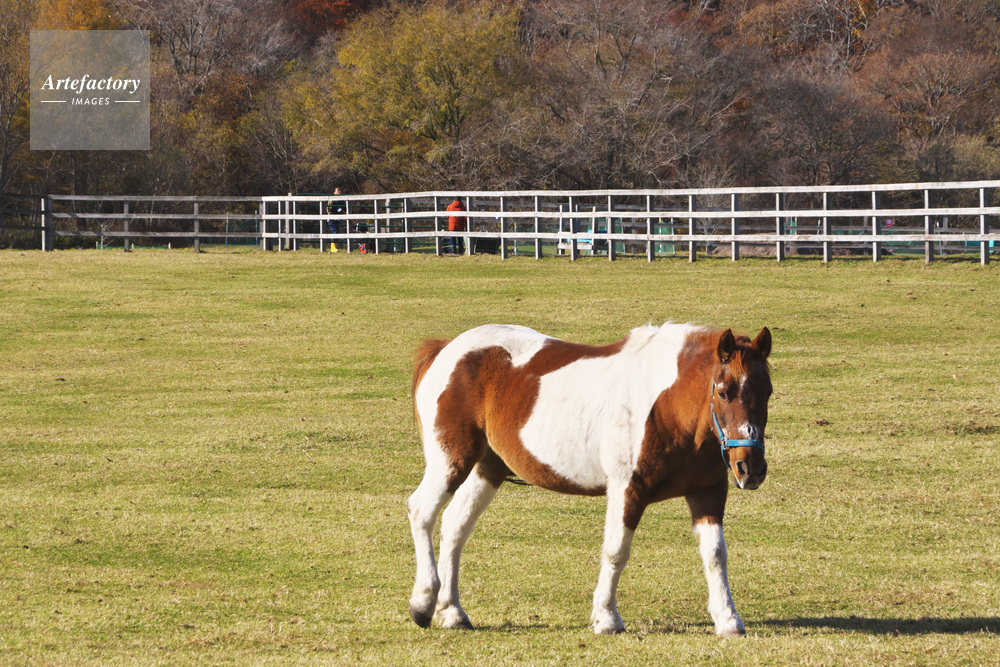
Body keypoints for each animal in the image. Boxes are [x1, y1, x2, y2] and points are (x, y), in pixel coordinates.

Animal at [406, 322, 772, 637]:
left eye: (767, 391)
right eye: (724, 392)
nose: (750, 468)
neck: (667, 405)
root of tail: (447, 348)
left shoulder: (707, 492)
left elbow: (715, 553)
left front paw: (728, 619)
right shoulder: (628, 490)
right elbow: (616, 551)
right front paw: (606, 617)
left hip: (488, 468)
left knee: (456, 526)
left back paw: (452, 611)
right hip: (450, 462)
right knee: (421, 511)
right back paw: (423, 603)